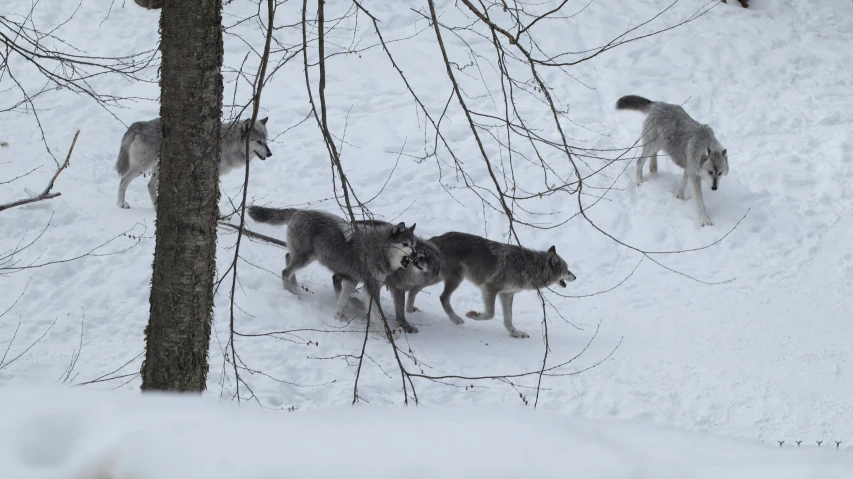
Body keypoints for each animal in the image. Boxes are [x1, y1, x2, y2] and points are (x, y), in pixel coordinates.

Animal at [113, 117, 272, 209]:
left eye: (266, 141)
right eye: (259, 142)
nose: (270, 154)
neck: (229, 144)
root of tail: (140, 125)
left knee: (149, 185)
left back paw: (157, 207)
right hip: (142, 166)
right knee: (123, 180)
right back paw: (121, 203)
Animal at [245, 206, 418, 326]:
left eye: (415, 245)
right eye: (405, 244)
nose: (416, 255)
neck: (378, 249)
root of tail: (299, 211)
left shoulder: (352, 281)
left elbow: (342, 301)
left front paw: (338, 317)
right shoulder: (370, 287)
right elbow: (378, 315)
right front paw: (387, 335)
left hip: (304, 257)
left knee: (287, 258)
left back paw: (294, 286)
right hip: (305, 258)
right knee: (285, 271)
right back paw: (292, 293)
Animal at [616, 96, 728, 229]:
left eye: (720, 173)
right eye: (710, 172)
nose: (714, 188)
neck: (703, 145)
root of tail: (657, 104)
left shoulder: (689, 169)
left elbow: (682, 185)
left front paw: (680, 198)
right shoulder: (694, 177)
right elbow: (700, 202)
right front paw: (704, 220)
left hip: (659, 145)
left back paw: (653, 168)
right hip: (652, 146)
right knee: (639, 161)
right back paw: (639, 180)